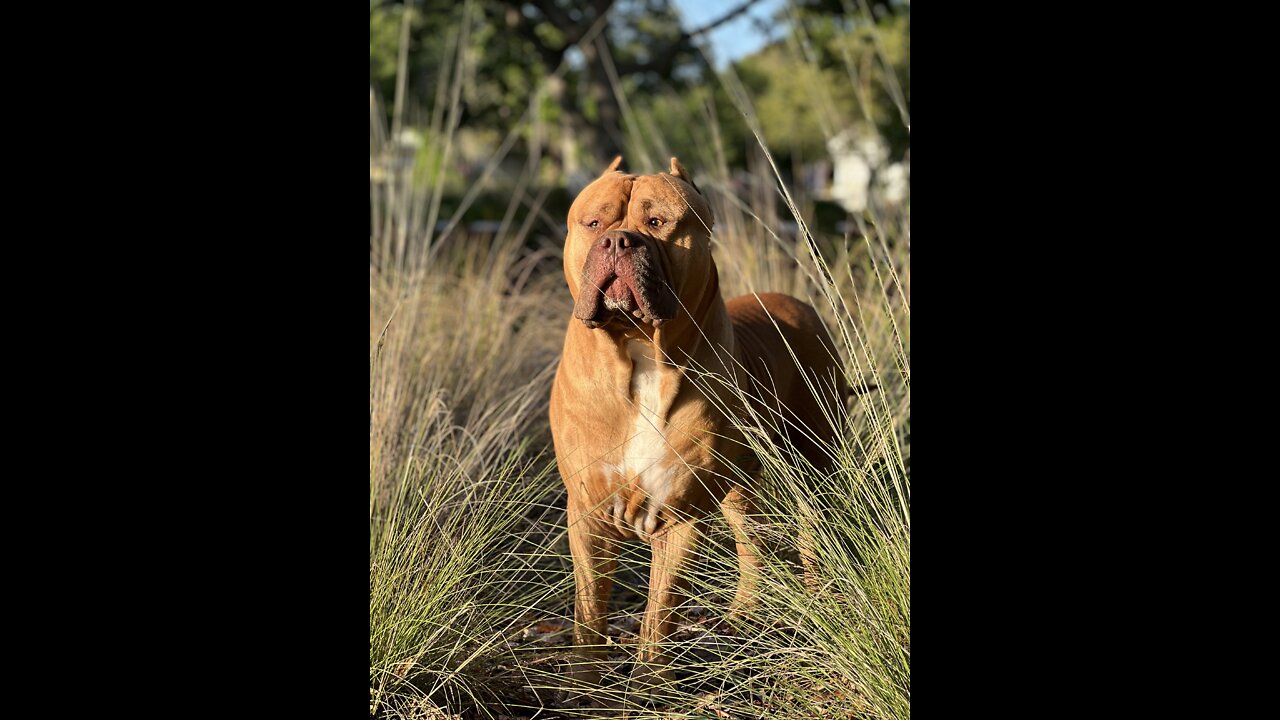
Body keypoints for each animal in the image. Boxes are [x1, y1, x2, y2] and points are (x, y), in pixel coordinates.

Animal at [550, 155, 849, 696]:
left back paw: (818, 605)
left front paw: (649, 688)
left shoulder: (677, 516)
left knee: (812, 535)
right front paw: (585, 688)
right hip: (739, 489)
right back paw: (740, 617)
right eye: (594, 223)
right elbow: (590, 614)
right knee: (752, 546)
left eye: (657, 222)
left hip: (814, 466)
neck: (639, 351)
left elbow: (658, 614)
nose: (618, 241)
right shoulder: (589, 515)